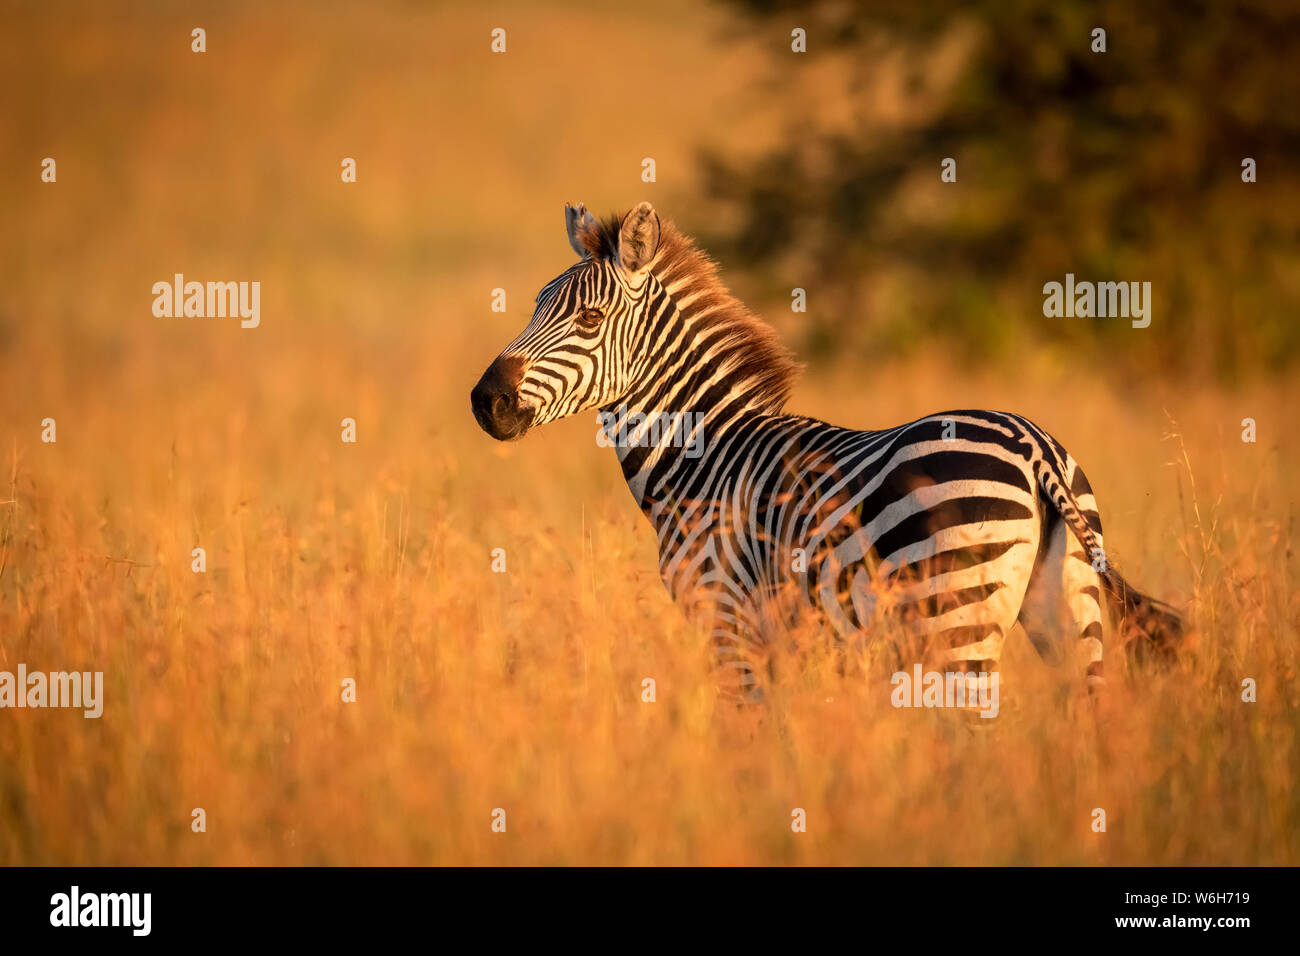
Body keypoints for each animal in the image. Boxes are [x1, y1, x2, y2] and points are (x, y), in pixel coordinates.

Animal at [471, 201, 1183, 701]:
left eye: (588, 320)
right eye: (536, 305)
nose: (485, 401)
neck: (706, 457)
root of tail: (1030, 444)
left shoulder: (729, 622)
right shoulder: (784, 641)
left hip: (957, 620)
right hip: (1068, 613)